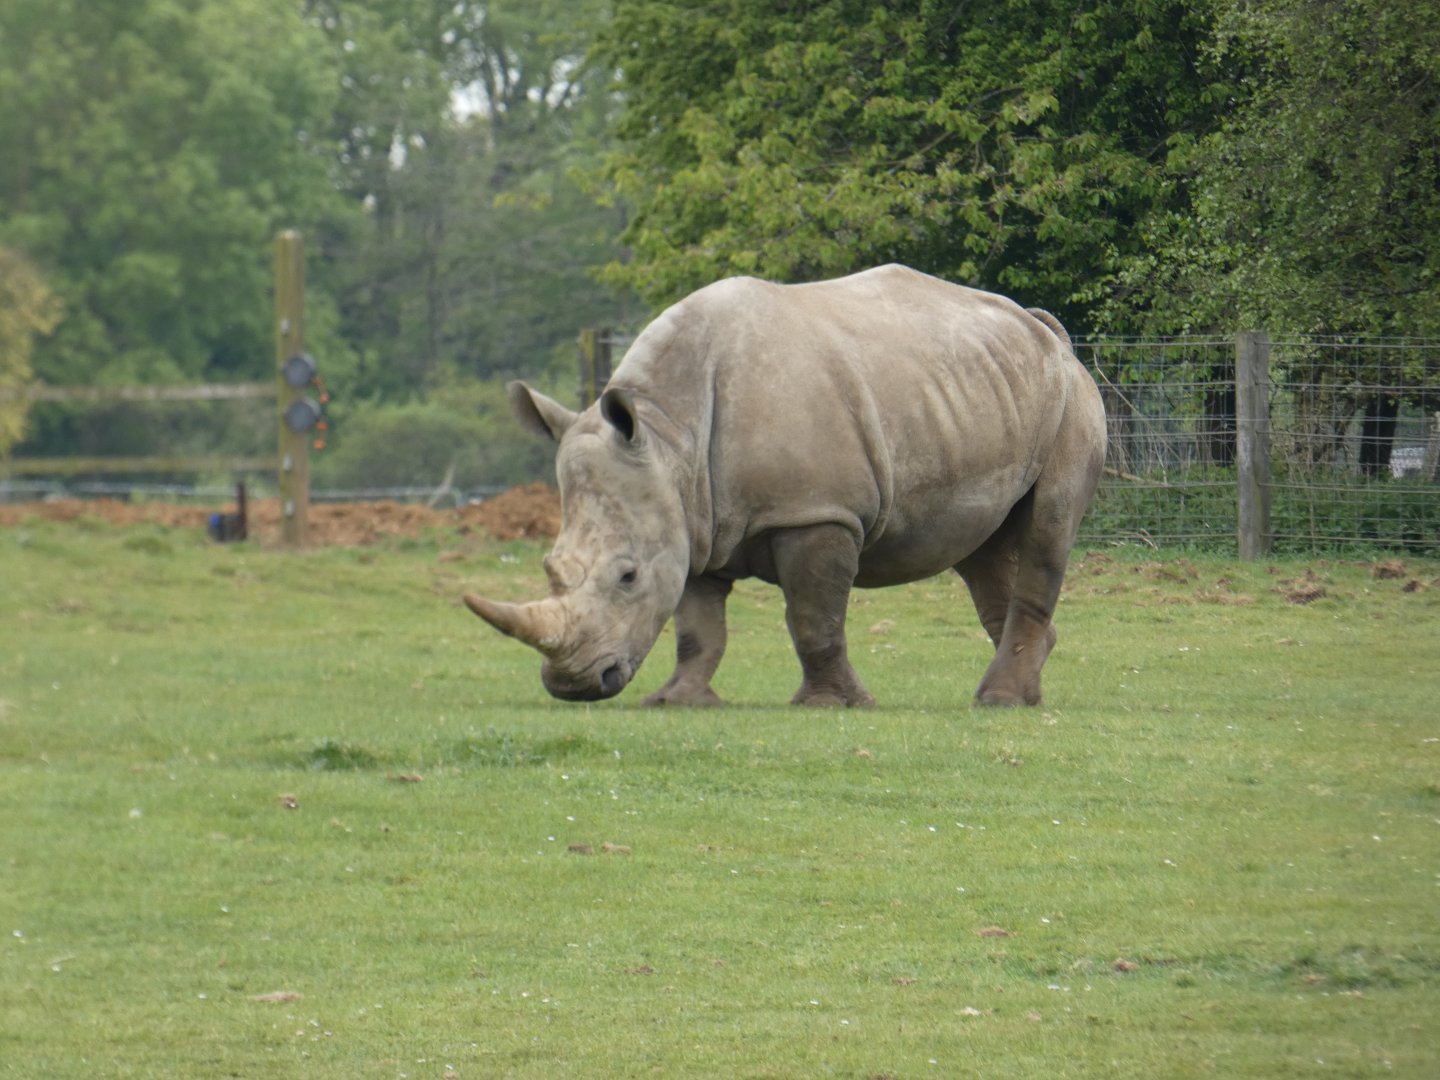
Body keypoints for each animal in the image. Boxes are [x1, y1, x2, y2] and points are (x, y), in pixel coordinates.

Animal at [464, 264, 1106, 707]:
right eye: (550, 567)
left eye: (627, 576)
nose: (573, 684)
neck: (670, 436)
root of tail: (1047, 331)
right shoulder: (691, 516)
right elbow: (697, 626)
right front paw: (678, 701)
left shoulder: (815, 512)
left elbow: (813, 618)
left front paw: (833, 705)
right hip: (986, 394)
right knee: (982, 549)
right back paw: (1019, 693)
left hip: (1071, 400)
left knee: (1046, 532)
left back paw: (1000, 700)